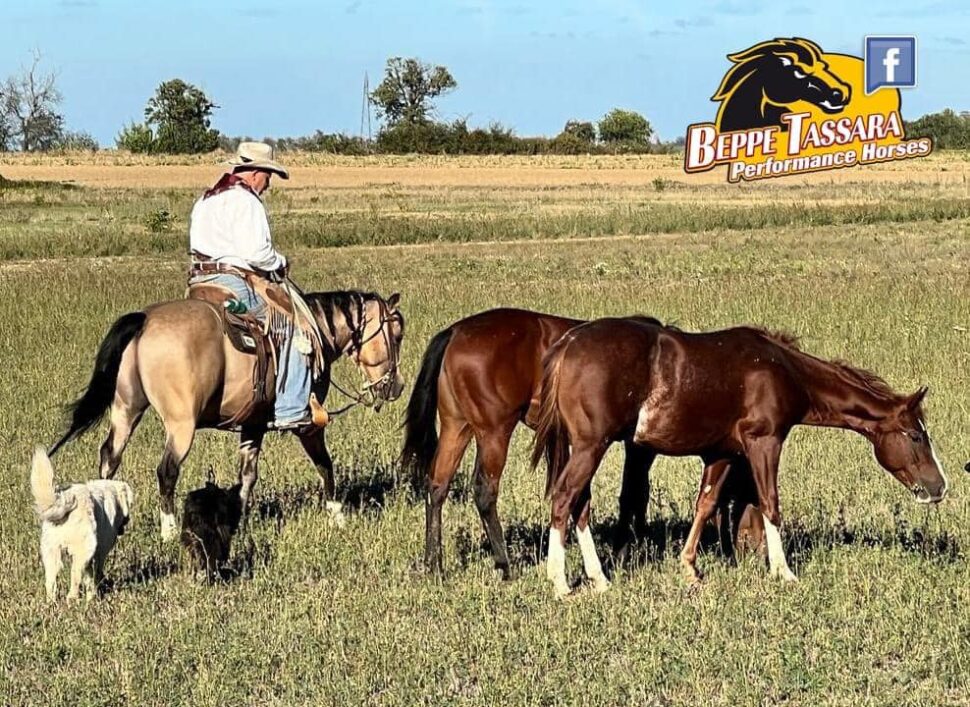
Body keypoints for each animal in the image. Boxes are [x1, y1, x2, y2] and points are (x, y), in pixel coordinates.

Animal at [29, 448, 133, 604]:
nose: (127, 521)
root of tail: (66, 501)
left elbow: (89, 577)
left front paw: (91, 596)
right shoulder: (101, 550)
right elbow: (96, 572)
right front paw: (94, 595)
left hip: (51, 552)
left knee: (51, 582)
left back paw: (51, 603)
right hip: (82, 550)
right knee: (74, 577)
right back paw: (73, 600)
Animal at [48, 290, 404, 540]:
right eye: (397, 334)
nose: (396, 386)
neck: (315, 332)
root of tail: (145, 320)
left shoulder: (253, 425)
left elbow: (247, 475)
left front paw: (238, 519)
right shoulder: (309, 425)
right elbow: (325, 466)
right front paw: (337, 515)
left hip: (126, 410)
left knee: (109, 458)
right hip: (181, 425)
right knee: (166, 471)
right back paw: (168, 531)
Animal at [528, 318, 944, 600]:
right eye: (916, 435)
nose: (939, 487)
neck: (784, 369)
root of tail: (568, 344)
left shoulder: (723, 453)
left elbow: (706, 504)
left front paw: (690, 568)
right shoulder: (765, 442)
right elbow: (770, 503)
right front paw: (783, 571)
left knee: (580, 505)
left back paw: (599, 578)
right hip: (590, 446)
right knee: (564, 499)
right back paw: (560, 582)